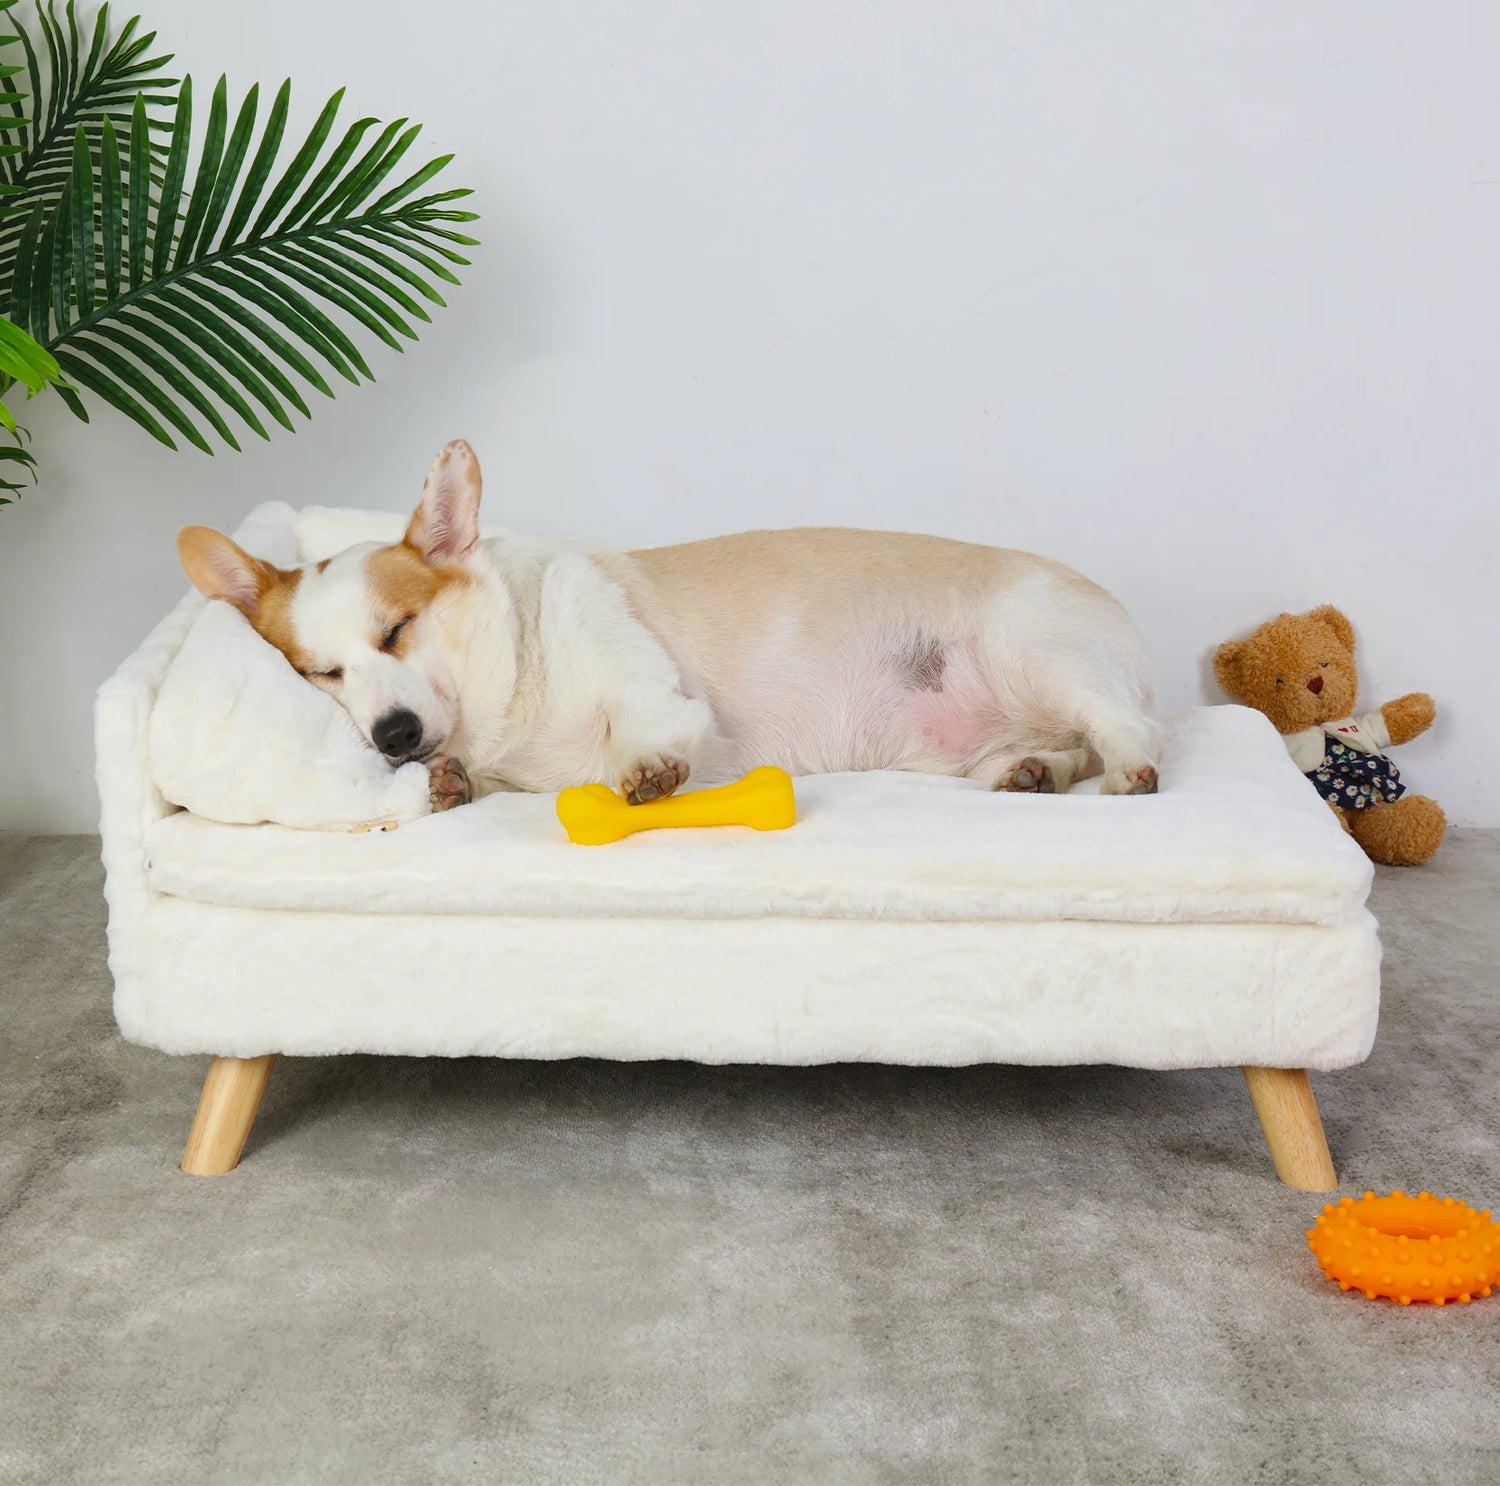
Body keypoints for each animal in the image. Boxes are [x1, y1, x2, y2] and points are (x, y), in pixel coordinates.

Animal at [175, 440, 1158, 815]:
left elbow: (644, 737)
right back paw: (1031, 771)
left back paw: (1125, 772)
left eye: (398, 629)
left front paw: (646, 771)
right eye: (320, 673)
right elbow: (482, 782)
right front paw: (449, 781)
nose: (393, 736)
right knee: (1061, 747)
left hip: (1038, 651)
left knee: (1125, 731)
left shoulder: (658, 700)